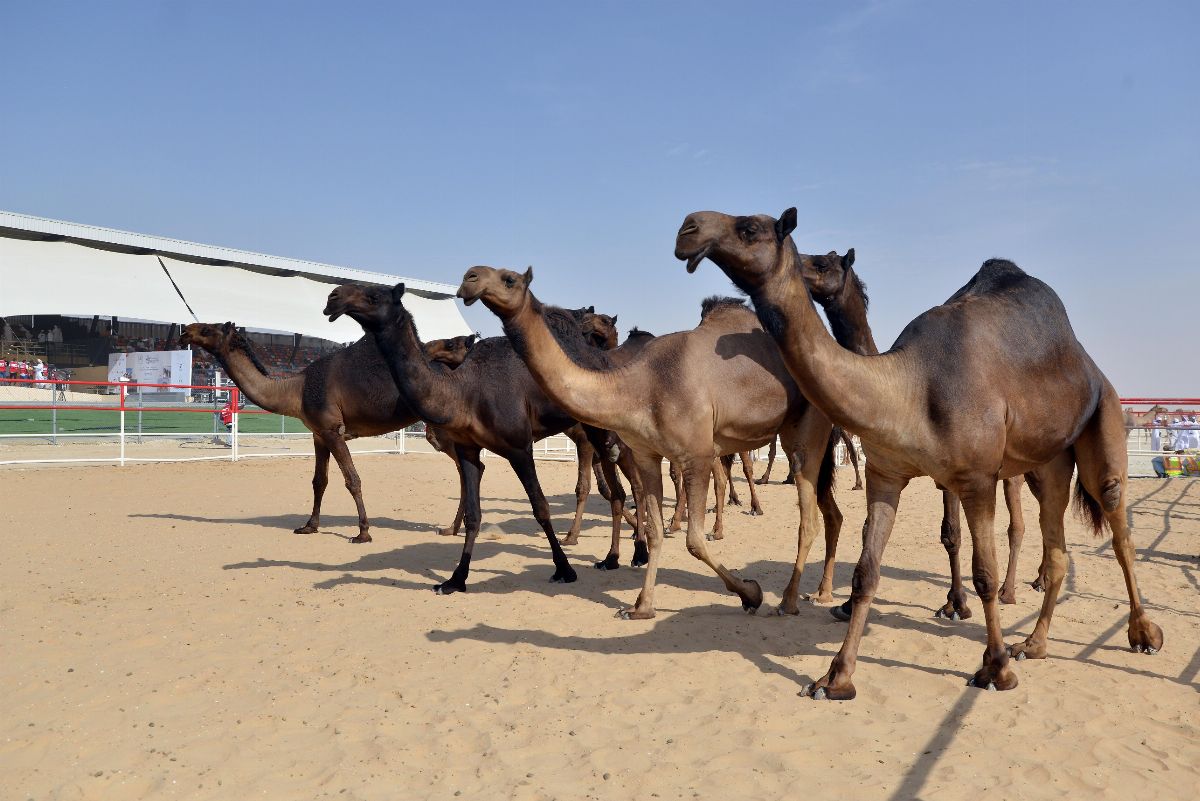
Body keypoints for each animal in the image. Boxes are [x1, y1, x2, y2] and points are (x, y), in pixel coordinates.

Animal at [177, 323, 472, 544]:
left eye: (207, 329)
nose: (184, 331)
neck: (296, 389)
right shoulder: (318, 434)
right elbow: (319, 481)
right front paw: (309, 526)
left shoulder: (333, 431)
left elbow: (352, 480)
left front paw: (363, 533)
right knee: (464, 471)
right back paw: (452, 528)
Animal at [453, 267, 859, 618]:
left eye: (508, 278)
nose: (469, 278)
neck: (640, 385)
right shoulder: (647, 454)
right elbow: (653, 529)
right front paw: (641, 606)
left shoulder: (696, 453)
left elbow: (694, 540)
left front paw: (751, 593)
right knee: (830, 511)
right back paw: (822, 593)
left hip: (808, 426)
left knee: (808, 516)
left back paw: (788, 600)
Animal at [681, 208, 1166, 700]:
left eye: (750, 228)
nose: (688, 228)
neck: (908, 385)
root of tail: (1088, 365)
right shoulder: (886, 475)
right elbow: (866, 572)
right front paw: (836, 676)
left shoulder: (974, 479)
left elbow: (982, 571)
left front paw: (994, 667)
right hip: (1048, 462)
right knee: (1059, 547)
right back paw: (1034, 642)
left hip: (1103, 417)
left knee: (1117, 525)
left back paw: (1141, 632)